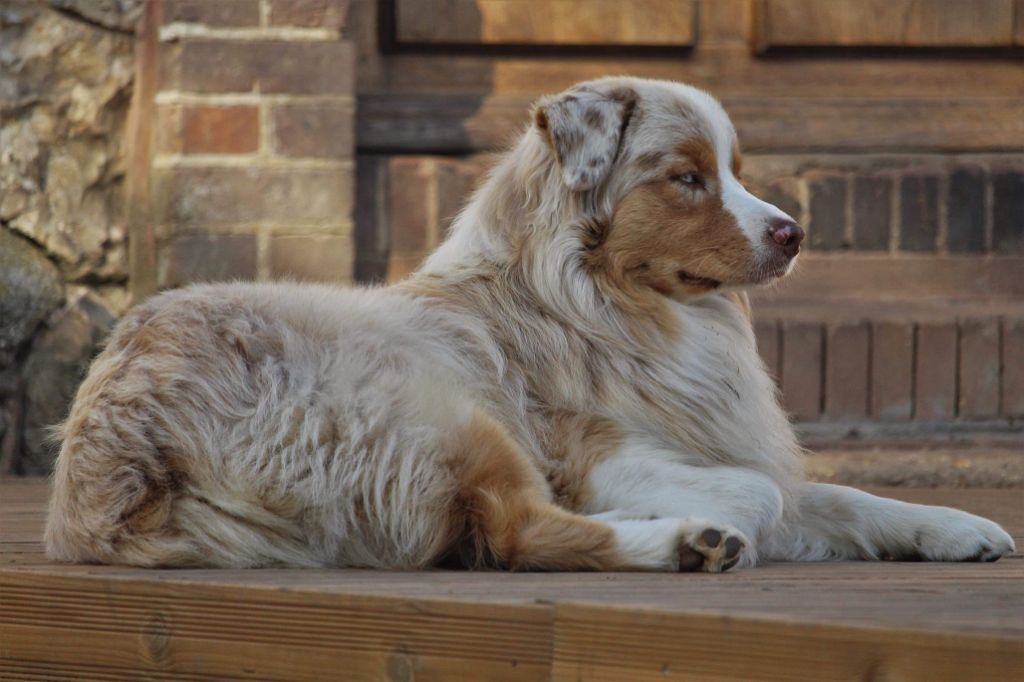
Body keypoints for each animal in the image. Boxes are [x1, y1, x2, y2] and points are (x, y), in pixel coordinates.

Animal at [44, 76, 1011, 569]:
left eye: (735, 170)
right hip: (448, 410)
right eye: (686, 177)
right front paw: (718, 518)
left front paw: (954, 527)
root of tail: (110, 456)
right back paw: (687, 544)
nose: (793, 232)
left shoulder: (717, 435)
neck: (597, 299)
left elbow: (843, 496)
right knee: (516, 531)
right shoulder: (589, 453)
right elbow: (764, 493)